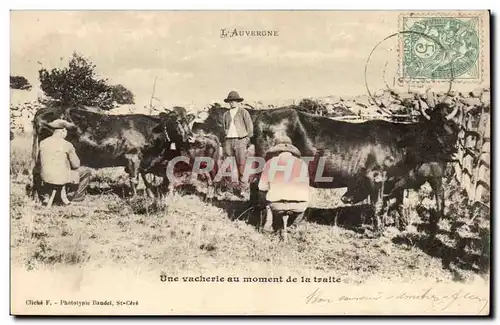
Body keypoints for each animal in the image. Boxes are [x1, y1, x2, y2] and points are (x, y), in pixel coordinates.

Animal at [30, 102, 195, 199]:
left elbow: (145, 179)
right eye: (177, 121)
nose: (191, 138)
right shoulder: (132, 156)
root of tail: (43, 110)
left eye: (188, 121)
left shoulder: (143, 159)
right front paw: (134, 198)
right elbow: (134, 180)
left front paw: (150, 195)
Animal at [252, 102, 458, 235]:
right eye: (435, 132)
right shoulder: (376, 176)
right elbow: (378, 205)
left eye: (454, 130)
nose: (455, 154)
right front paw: (378, 231)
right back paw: (265, 225)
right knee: (262, 191)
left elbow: (391, 204)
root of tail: (262, 114)